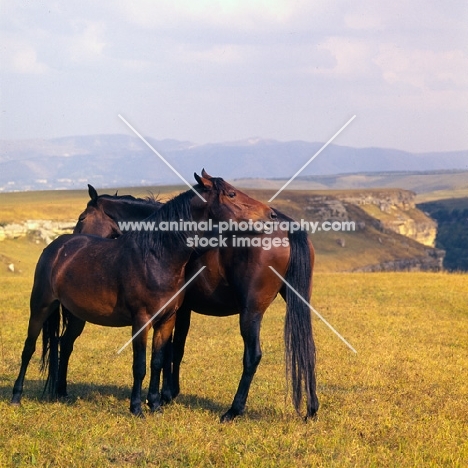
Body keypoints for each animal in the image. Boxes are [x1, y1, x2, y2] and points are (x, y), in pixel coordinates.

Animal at [11, 172, 276, 416]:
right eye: (231, 194)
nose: (271, 215)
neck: (157, 257)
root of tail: (57, 247)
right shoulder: (141, 320)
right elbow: (140, 364)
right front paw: (138, 407)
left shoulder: (167, 319)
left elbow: (158, 360)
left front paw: (156, 404)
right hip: (41, 307)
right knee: (30, 348)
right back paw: (17, 396)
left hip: (77, 315)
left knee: (63, 344)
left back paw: (61, 393)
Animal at [70, 173, 318, 424]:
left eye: (82, 217)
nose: (74, 242)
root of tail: (286, 228)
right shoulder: (181, 310)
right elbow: (176, 348)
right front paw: (168, 393)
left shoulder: (174, 310)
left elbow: (169, 350)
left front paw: (164, 395)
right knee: (307, 346)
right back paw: (312, 408)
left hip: (251, 312)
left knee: (253, 356)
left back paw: (233, 410)